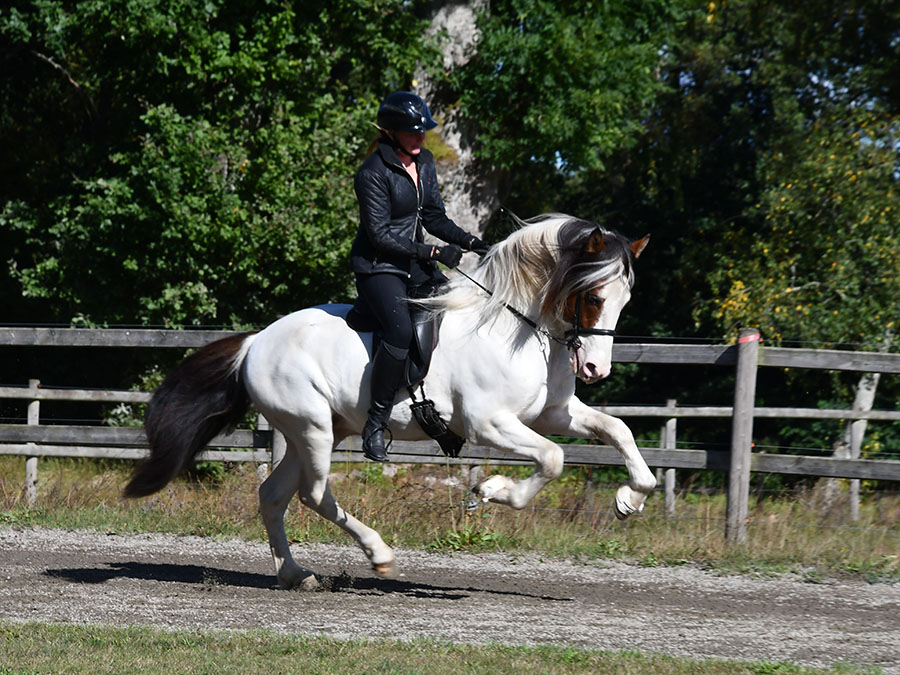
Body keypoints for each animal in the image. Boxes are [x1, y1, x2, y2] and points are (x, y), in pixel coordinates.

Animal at [125, 214, 652, 588]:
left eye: (625, 300)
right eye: (593, 296)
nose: (596, 369)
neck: (513, 326)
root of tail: (257, 341)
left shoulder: (553, 414)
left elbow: (617, 431)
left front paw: (629, 500)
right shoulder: (489, 424)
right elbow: (554, 458)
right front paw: (492, 490)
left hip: (314, 430)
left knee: (274, 496)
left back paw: (295, 575)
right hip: (313, 428)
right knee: (313, 494)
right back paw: (378, 555)